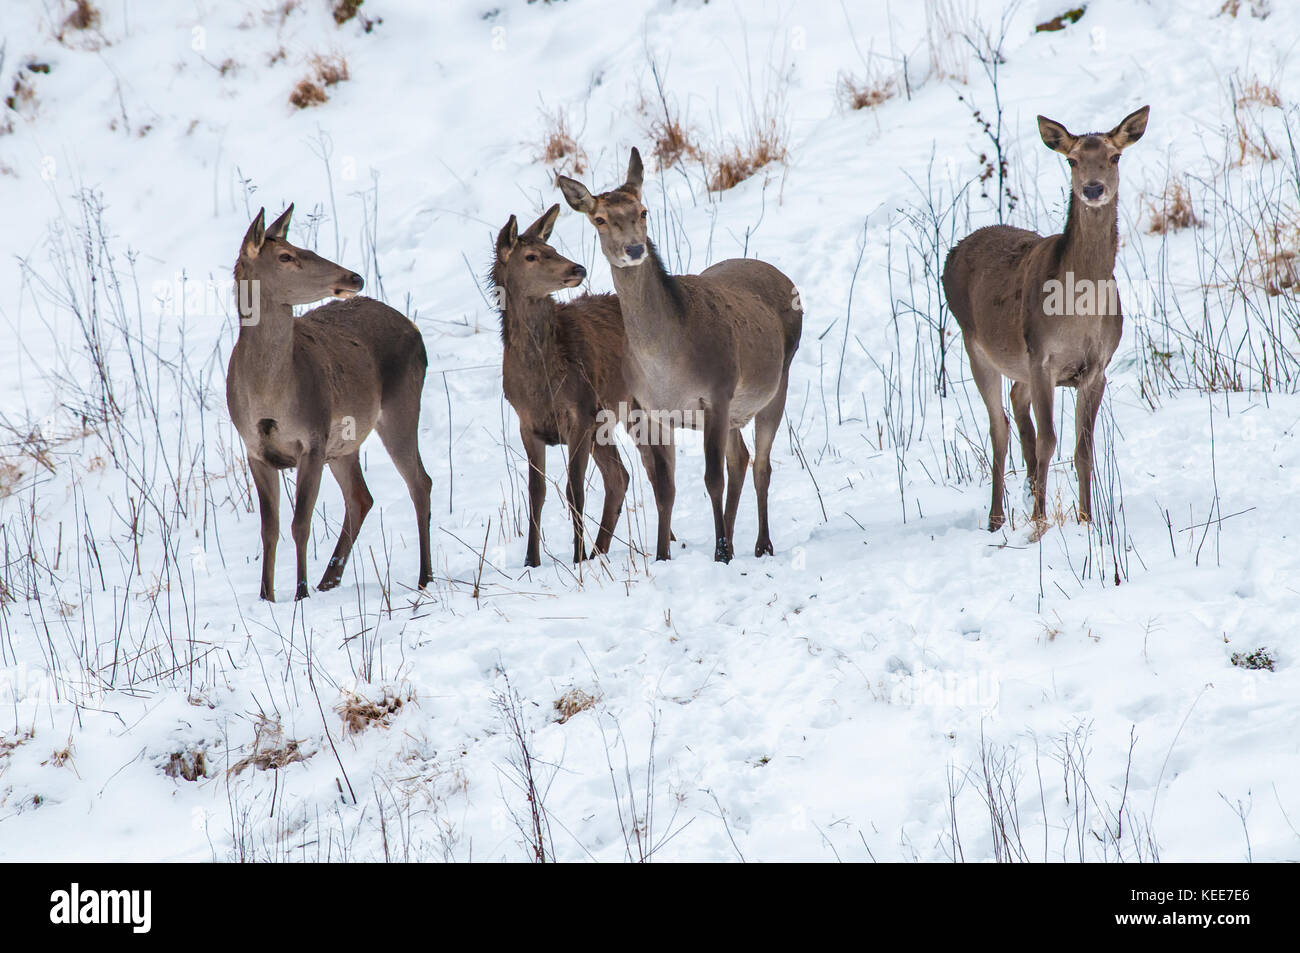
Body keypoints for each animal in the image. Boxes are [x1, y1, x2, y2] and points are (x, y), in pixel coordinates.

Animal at [226, 204, 434, 598]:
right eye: (286, 255)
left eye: (303, 247)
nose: (355, 277)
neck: (267, 394)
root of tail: (415, 329)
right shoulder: (254, 449)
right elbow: (269, 529)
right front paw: (266, 596)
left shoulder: (313, 438)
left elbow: (300, 523)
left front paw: (300, 593)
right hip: (345, 443)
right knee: (361, 497)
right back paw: (329, 580)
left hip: (401, 405)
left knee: (420, 482)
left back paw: (424, 577)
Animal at [488, 202, 670, 564]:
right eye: (531, 255)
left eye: (552, 248)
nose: (578, 268)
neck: (540, 381)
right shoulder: (528, 424)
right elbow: (536, 492)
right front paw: (532, 560)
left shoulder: (580, 413)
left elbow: (574, 490)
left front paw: (576, 557)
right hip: (609, 419)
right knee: (622, 475)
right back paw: (602, 550)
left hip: (637, 407)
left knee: (656, 471)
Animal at [559, 148, 800, 561]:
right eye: (599, 219)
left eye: (643, 211)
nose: (634, 249)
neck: (667, 361)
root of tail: (783, 277)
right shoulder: (651, 409)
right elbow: (664, 485)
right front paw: (662, 554)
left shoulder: (716, 392)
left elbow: (712, 478)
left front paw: (721, 553)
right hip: (735, 411)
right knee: (741, 458)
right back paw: (733, 537)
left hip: (776, 383)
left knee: (761, 465)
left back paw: (760, 544)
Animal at [946, 105, 1149, 535]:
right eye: (1071, 160)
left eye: (1115, 157)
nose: (1093, 189)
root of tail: (952, 252)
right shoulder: (1041, 357)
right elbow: (1047, 441)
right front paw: (1039, 522)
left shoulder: (1096, 367)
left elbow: (1082, 448)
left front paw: (1088, 519)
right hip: (977, 347)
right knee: (999, 427)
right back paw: (996, 517)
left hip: (1018, 364)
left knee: (1015, 404)